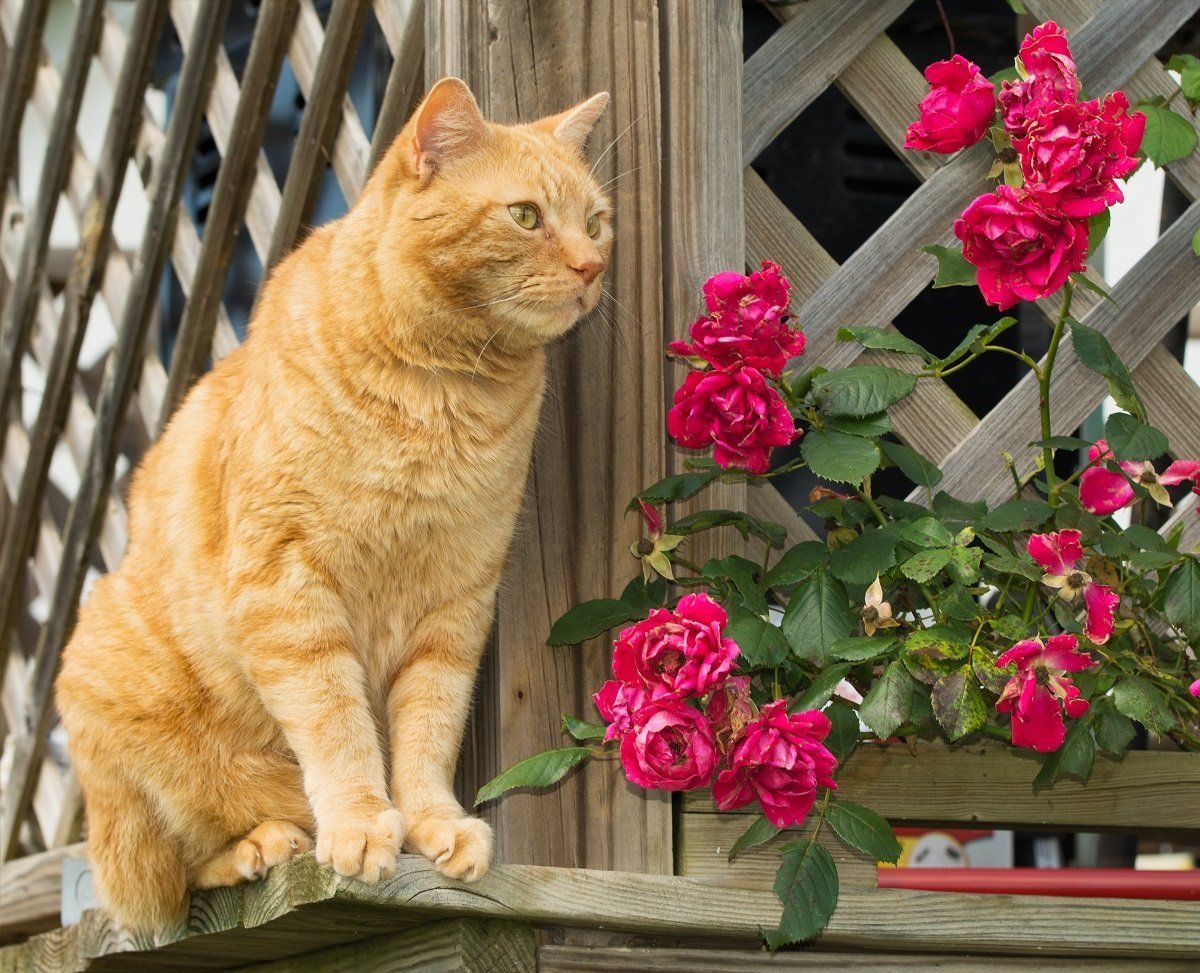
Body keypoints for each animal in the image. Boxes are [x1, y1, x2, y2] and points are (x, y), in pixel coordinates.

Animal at [55, 76, 609, 926]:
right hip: (122, 722)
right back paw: (265, 842)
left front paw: (431, 822)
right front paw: (359, 822)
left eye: (596, 220)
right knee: (166, 881)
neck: (445, 392)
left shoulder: (455, 605)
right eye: (526, 216)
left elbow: (427, 732)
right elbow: (337, 723)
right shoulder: (289, 590)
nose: (592, 266)